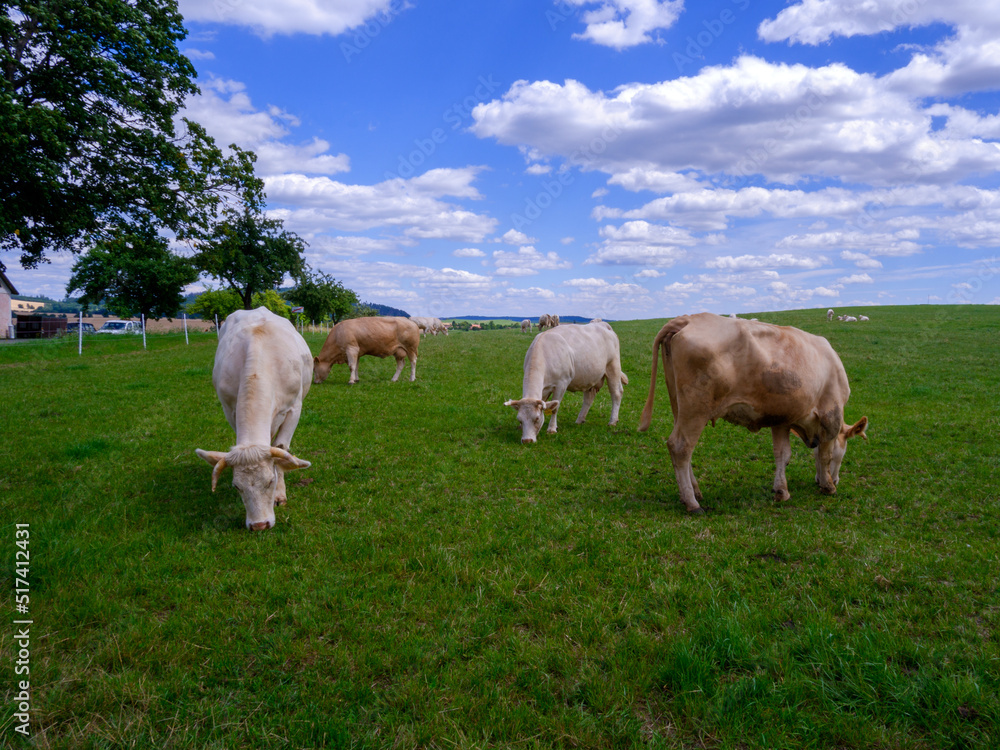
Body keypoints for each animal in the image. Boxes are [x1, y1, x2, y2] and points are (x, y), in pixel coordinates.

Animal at [195, 307, 312, 531]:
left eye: (270, 481)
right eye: (236, 486)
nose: (259, 525)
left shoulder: (295, 408)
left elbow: (281, 448)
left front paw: (280, 495)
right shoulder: (229, 409)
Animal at [638, 313, 867, 513]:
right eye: (844, 452)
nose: (835, 480)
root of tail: (687, 318)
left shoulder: (782, 419)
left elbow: (783, 454)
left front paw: (781, 491)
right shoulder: (831, 413)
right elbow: (825, 454)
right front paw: (828, 486)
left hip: (679, 406)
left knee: (684, 451)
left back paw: (694, 491)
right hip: (696, 409)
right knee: (680, 447)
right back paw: (692, 503)